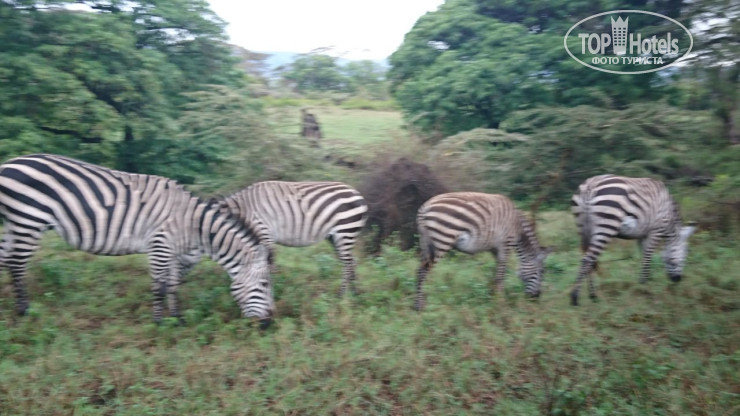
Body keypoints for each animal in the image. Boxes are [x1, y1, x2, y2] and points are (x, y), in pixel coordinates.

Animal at [0, 154, 274, 326]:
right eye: (263, 285)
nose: (268, 324)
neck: (193, 225)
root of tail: (8, 164)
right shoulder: (160, 246)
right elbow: (160, 287)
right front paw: (159, 323)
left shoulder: (172, 251)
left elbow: (173, 285)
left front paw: (178, 319)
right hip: (28, 220)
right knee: (16, 265)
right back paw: (24, 312)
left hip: (15, 224)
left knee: (6, 260)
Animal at [216, 181, 368, 295]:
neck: (244, 211)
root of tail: (358, 195)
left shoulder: (265, 233)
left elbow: (268, 265)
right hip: (336, 237)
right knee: (352, 261)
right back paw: (354, 293)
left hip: (345, 231)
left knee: (347, 264)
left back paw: (341, 296)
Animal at [414, 192, 551, 310]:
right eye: (542, 272)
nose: (536, 298)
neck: (518, 227)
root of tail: (426, 206)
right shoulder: (506, 245)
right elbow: (501, 275)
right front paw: (501, 303)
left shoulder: (495, 249)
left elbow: (496, 274)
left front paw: (493, 296)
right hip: (443, 240)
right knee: (423, 272)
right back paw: (420, 306)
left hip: (426, 243)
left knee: (419, 270)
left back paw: (418, 304)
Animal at [570, 174, 696, 305]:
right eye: (685, 255)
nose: (677, 280)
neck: (669, 218)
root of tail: (590, 185)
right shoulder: (655, 232)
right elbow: (647, 259)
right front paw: (644, 290)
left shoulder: (642, 235)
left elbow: (643, 258)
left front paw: (643, 285)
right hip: (606, 225)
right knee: (587, 259)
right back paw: (575, 298)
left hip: (583, 228)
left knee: (589, 259)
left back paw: (593, 296)